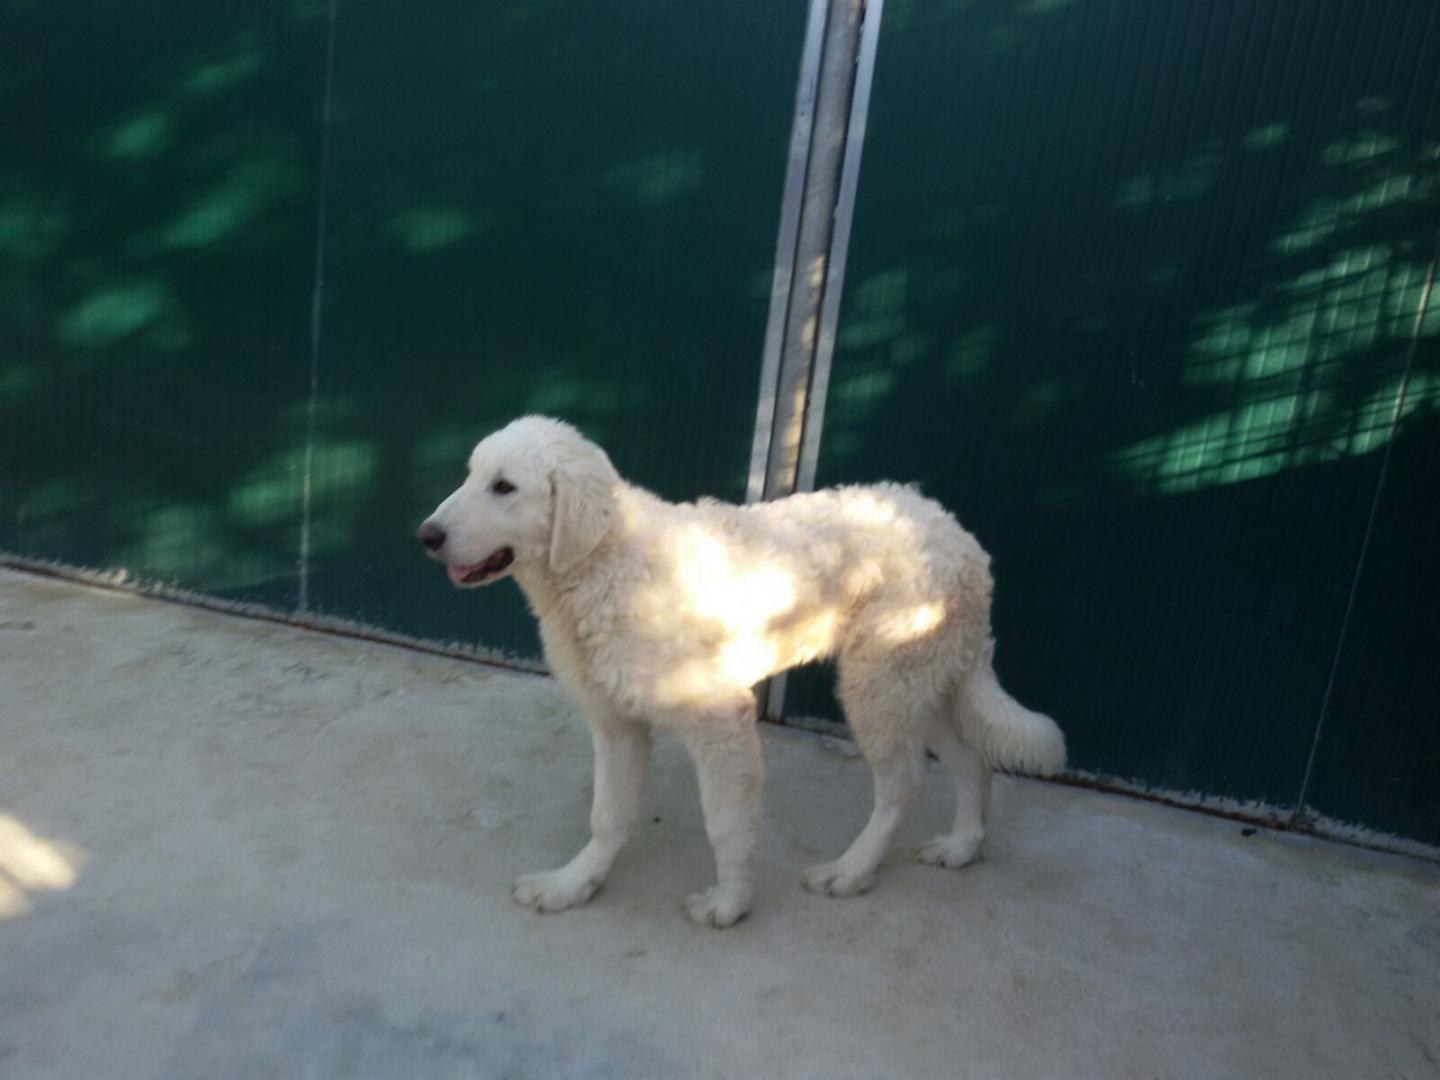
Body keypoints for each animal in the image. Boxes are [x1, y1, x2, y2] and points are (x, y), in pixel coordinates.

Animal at [418, 416, 1064, 927]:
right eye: (469, 475)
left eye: (504, 487)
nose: (425, 536)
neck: (605, 565)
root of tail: (958, 534)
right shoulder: (616, 724)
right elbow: (606, 817)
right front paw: (573, 885)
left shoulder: (720, 720)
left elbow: (725, 823)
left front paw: (729, 905)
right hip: (913, 685)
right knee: (972, 760)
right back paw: (962, 847)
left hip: (877, 686)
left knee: (904, 783)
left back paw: (851, 871)